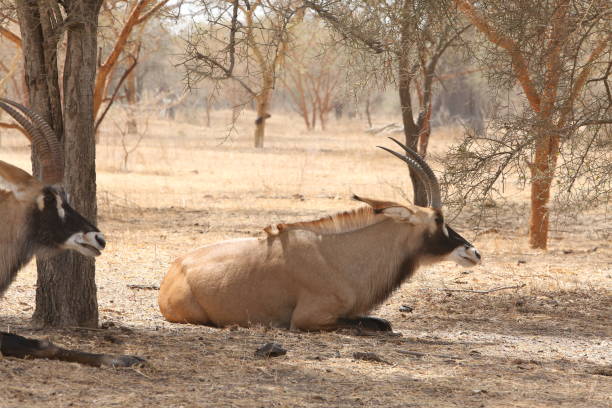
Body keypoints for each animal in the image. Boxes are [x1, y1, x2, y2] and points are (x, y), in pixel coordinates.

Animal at [159, 137, 482, 332]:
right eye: (439, 219)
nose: (473, 252)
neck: (339, 255)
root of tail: (174, 269)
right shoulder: (311, 318)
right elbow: (370, 326)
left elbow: (381, 323)